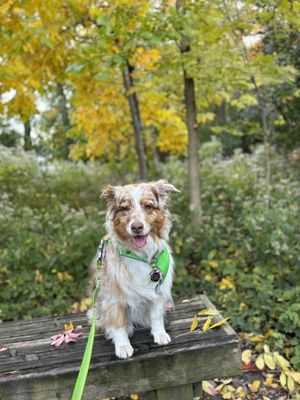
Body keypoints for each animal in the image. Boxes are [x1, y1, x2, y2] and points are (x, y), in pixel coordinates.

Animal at [88, 180, 178, 358]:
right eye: (124, 208)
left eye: (148, 206)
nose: (137, 227)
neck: (141, 256)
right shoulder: (112, 297)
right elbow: (118, 323)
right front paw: (123, 346)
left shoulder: (158, 290)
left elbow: (156, 315)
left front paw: (160, 334)